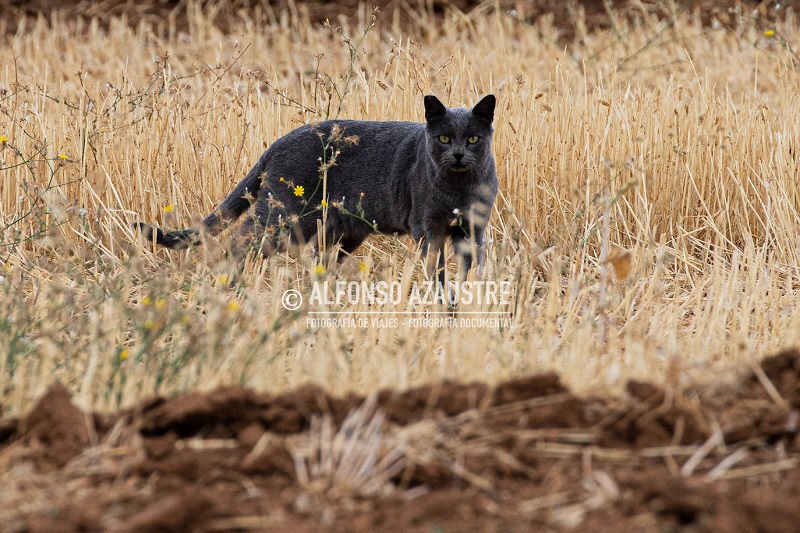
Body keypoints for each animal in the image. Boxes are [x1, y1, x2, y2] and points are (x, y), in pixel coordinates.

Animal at [138, 94, 500, 282]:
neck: (458, 187)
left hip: (337, 231)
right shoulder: (428, 228)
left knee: (316, 257)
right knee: (241, 240)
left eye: (472, 138)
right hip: (284, 217)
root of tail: (278, 142)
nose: (458, 154)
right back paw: (230, 283)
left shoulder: (473, 229)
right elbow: (436, 270)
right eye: (443, 138)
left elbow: (472, 266)